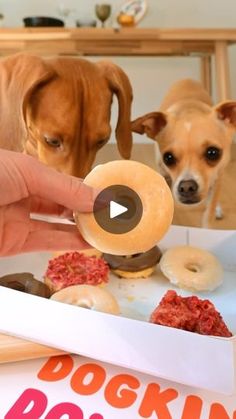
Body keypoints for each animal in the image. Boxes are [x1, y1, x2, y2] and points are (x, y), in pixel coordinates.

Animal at [131, 80, 236, 228]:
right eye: (168, 158)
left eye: (213, 153)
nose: (186, 187)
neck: (189, 110)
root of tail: (187, 80)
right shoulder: (165, 176)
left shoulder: (218, 178)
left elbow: (208, 214)